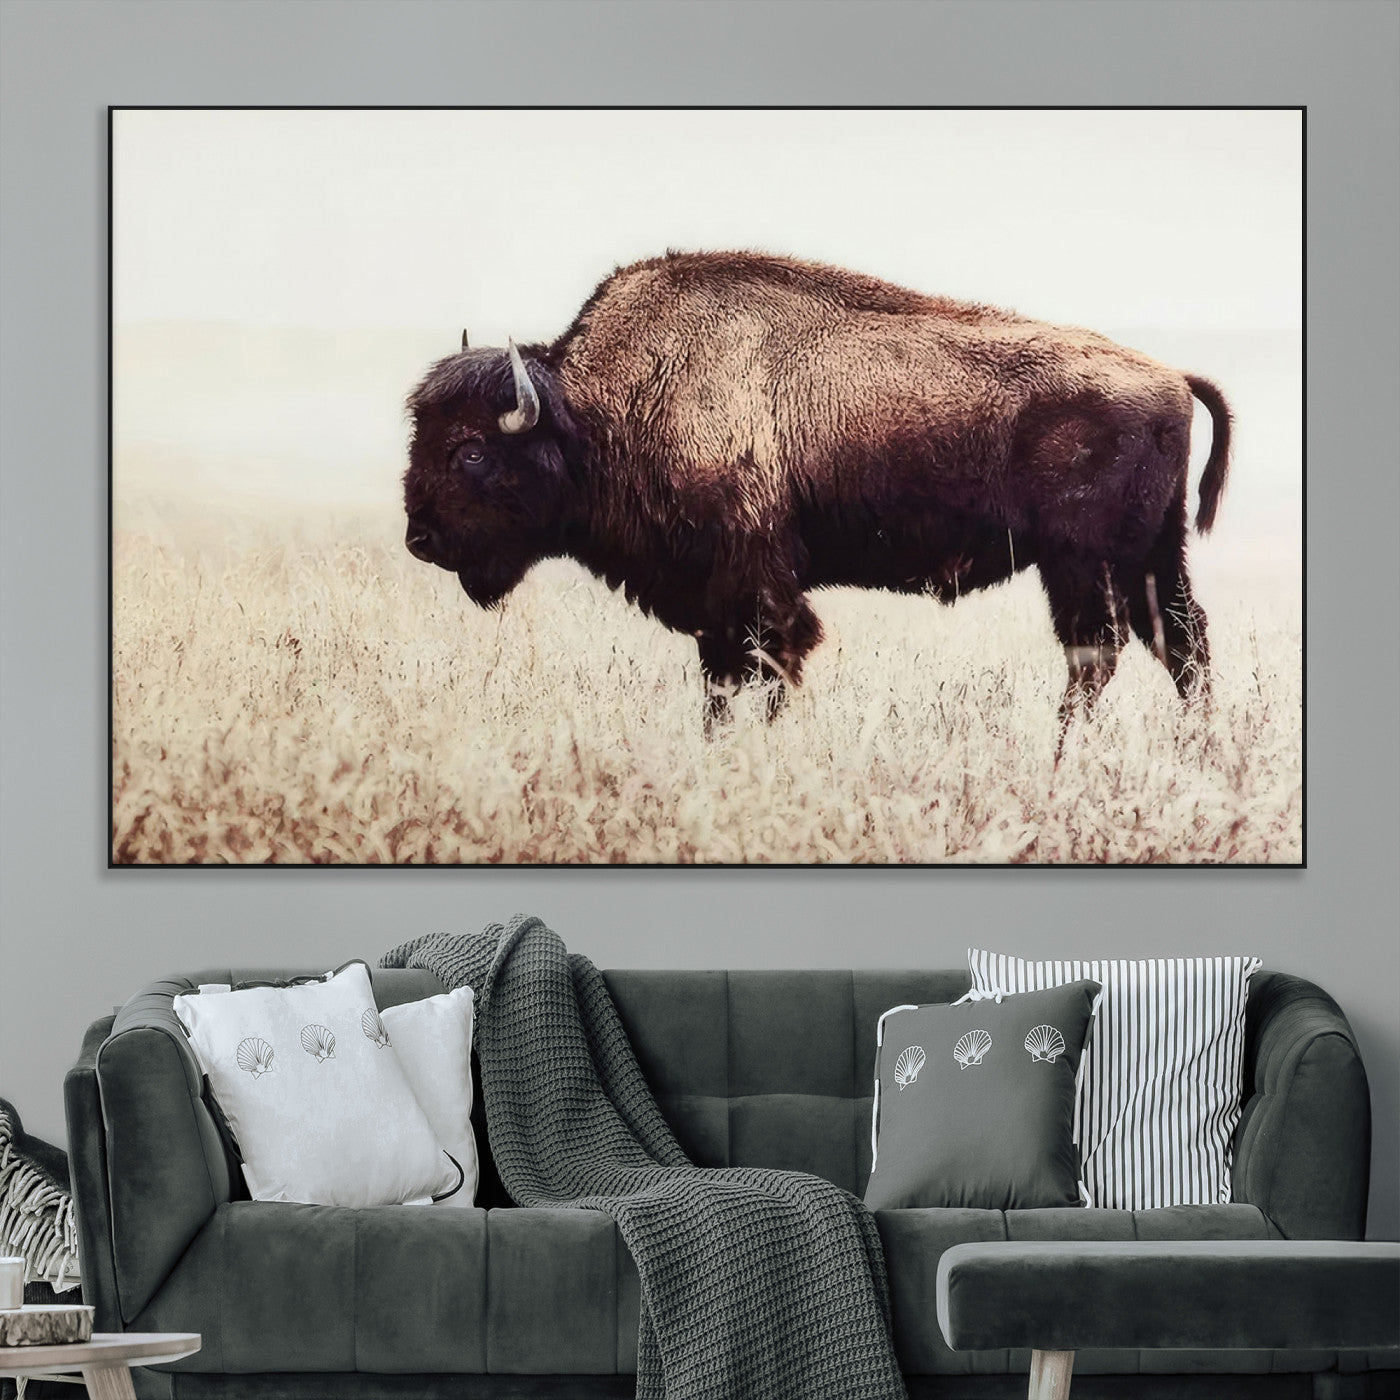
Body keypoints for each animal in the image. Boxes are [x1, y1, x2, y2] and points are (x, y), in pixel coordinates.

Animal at [404, 251, 1229, 733]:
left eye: (471, 449)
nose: (420, 539)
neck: (599, 410)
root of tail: (1170, 375)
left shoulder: (758, 588)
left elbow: (770, 666)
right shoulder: (716, 605)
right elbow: (721, 682)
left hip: (1082, 563)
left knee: (1099, 652)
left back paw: (1063, 753)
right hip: (1150, 558)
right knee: (1180, 643)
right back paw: (1196, 751)